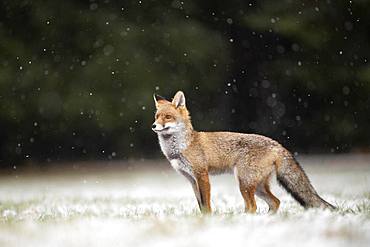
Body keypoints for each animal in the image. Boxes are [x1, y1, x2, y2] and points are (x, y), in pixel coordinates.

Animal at [151, 91, 336, 213]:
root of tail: (277, 144)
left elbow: (207, 205)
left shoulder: (202, 175)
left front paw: (208, 221)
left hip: (244, 182)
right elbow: (201, 205)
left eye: (167, 117)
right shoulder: (191, 180)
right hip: (257, 185)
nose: (153, 126)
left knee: (253, 206)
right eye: (156, 116)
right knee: (275, 202)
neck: (183, 146)